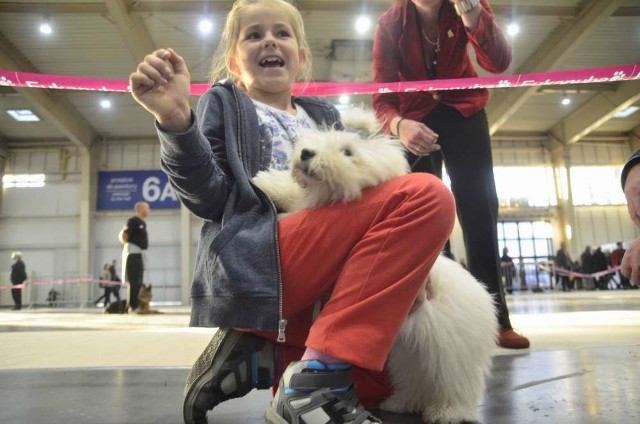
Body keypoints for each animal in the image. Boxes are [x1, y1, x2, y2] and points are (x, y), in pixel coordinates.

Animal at [252, 117, 498, 424]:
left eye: (347, 152)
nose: (307, 153)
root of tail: (486, 300)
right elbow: (296, 196)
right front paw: (268, 181)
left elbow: (300, 214)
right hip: (410, 353)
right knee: (417, 379)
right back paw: (402, 403)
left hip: (451, 352)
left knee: (458, 384)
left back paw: (447, 412)